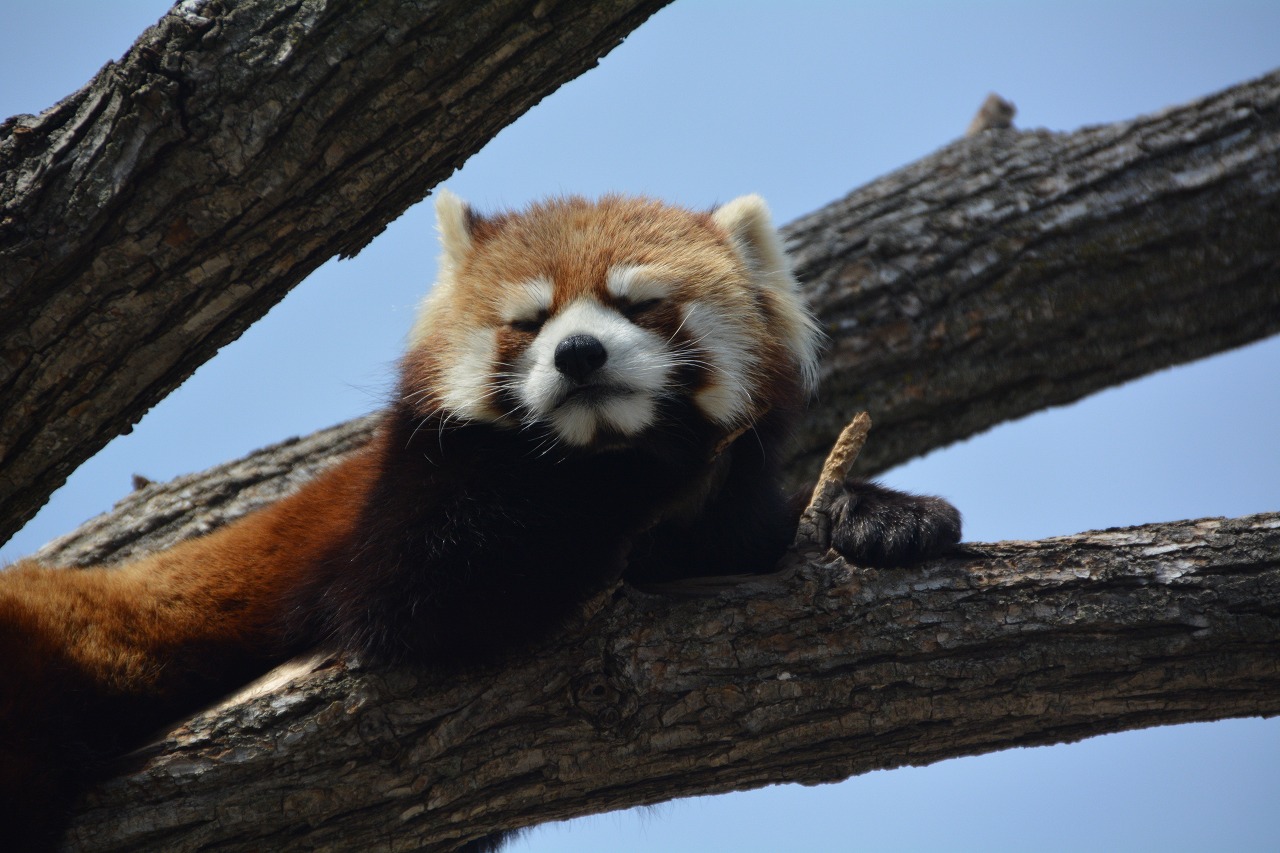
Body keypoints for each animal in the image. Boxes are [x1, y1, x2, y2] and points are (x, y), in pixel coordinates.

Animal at [0, 192, 962, 845]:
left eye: (641, 303)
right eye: (530, 322)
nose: (580, 354)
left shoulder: (714, 527)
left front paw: (885, 517)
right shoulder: (398, 506)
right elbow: (418, 596)